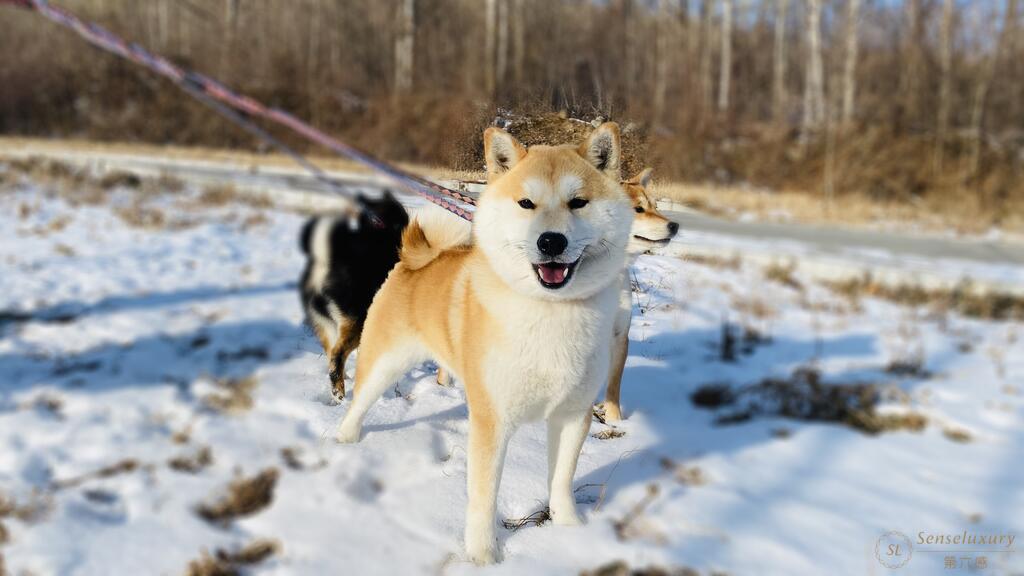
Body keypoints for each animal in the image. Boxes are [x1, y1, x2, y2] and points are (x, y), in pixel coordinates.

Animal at [335, 121, 630, 561]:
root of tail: (417, 257)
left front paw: (569, 531)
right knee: (358, 404)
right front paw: (483, 556)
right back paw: (345, 441)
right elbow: (484, 496)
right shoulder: (493, 420)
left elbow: (561, 481)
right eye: (526, 203)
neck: (549, 312)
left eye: (578, 202)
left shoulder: (572, 414)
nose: (551, 241)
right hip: (384, 362)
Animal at [602, 168, 675, 420]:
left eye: (655, 206)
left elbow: (614, 384)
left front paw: (615, 420)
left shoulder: (619, 333)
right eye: (638, 209)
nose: (675, 226)